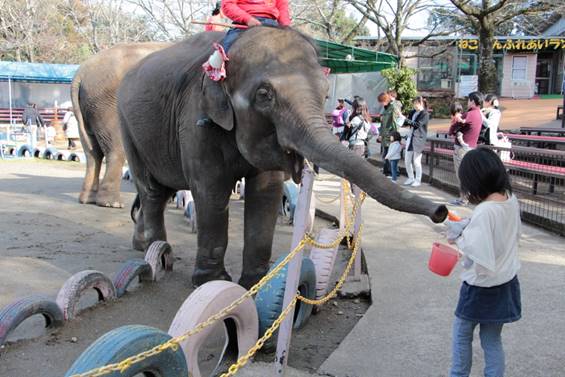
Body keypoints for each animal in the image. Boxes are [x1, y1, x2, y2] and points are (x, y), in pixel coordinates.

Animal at [70, 42, 169, 207]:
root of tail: (81, 74)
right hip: (108, 106)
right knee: (115, 148)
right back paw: (112, 203)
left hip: (88, 108)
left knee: (92, 152)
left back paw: (87, 199)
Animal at [117, 27, 448, 288]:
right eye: (264, 95)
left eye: (325, 91)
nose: (441, 211)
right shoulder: (196, 119)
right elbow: (210, 192)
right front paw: (212, 282)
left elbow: (267, 192)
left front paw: (255, 284)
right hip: (126, 126)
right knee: (151, 190)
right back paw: (160, 256)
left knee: (161, 190)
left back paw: (142, 245)